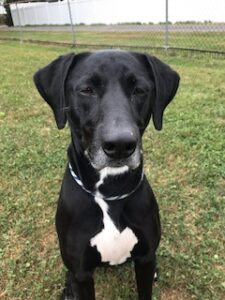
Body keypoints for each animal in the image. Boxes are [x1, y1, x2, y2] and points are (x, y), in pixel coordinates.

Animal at [33, 50, 179, 298]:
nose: (120, 145)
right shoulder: (82, 272)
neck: (111, 191)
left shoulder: (145, 259)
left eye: (140, 90)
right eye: (86, 90)